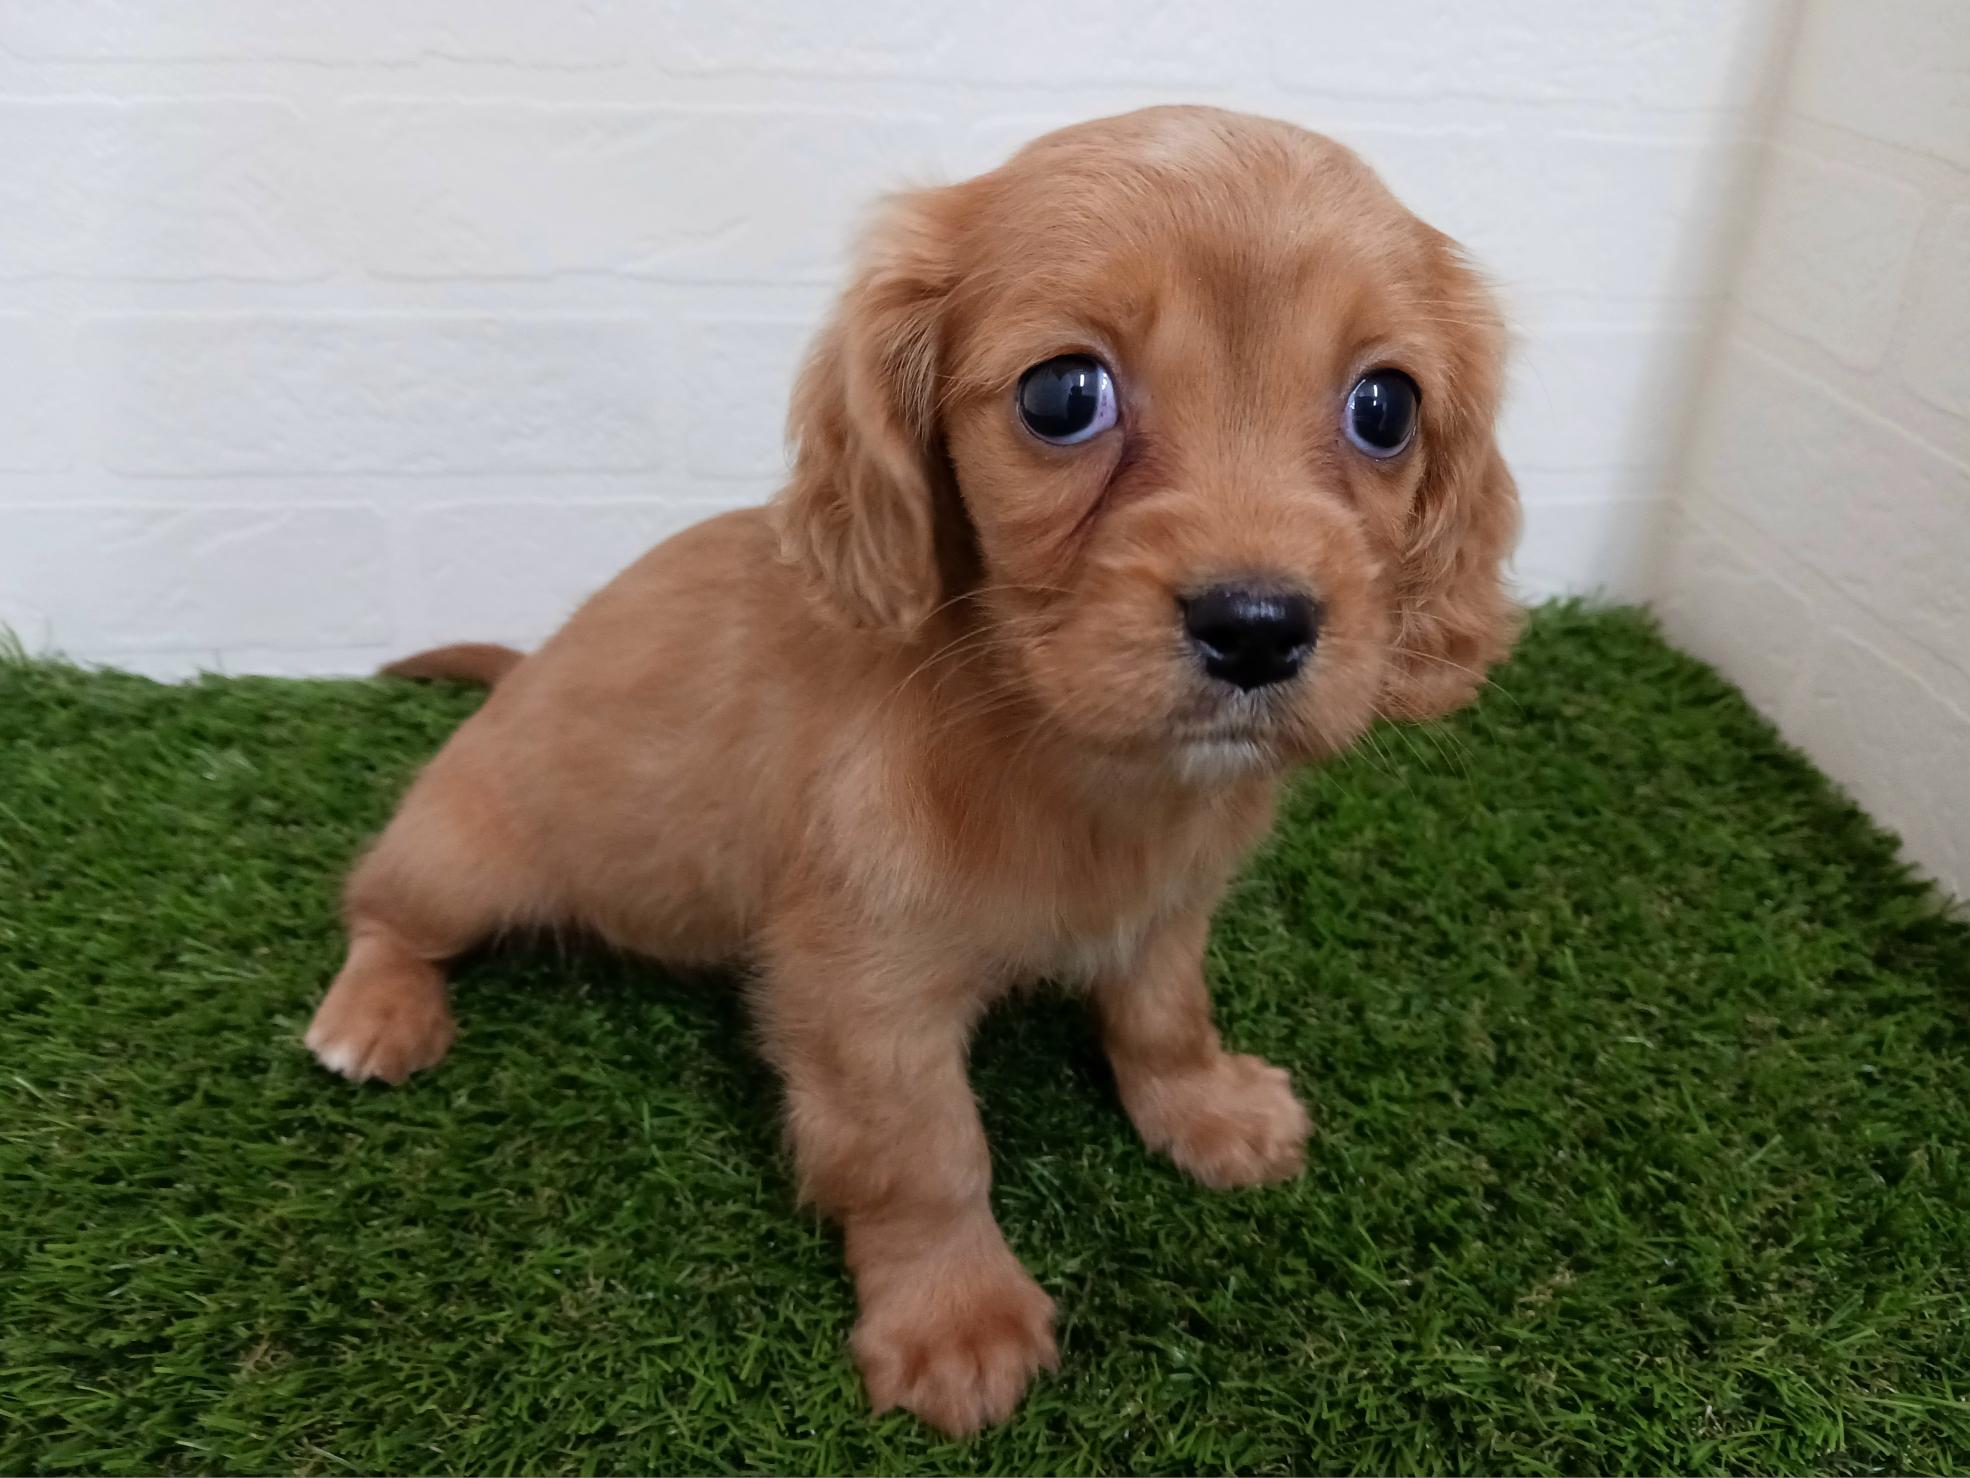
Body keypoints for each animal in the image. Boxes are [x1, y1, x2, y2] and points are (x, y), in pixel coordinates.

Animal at [305, 105, 1521, 1436]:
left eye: (1383, 407)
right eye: (1063, 395)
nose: (1257, 627)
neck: (1071, 762)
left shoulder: (1164, 918)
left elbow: (1161, 1017)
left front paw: (1203, 1109)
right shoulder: (860, 993)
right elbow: (925, 1156)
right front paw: (953, 1318)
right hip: (458, 857)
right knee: (381, 911)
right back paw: (373, 1013)